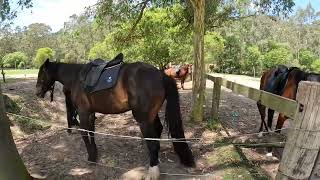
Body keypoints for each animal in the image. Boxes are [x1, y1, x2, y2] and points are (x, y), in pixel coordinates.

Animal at [35, 53, 195, 179]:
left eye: (41, 74)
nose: (37, 92)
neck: (77, 77)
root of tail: (161, 74)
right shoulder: (91, 113)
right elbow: (92, 132)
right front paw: (95, 153)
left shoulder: (83, 112)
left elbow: (84, 133)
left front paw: (91, 157)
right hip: (150, 116)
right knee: (157, 131)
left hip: (143, 119)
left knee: (152, 141)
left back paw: (153, 171)